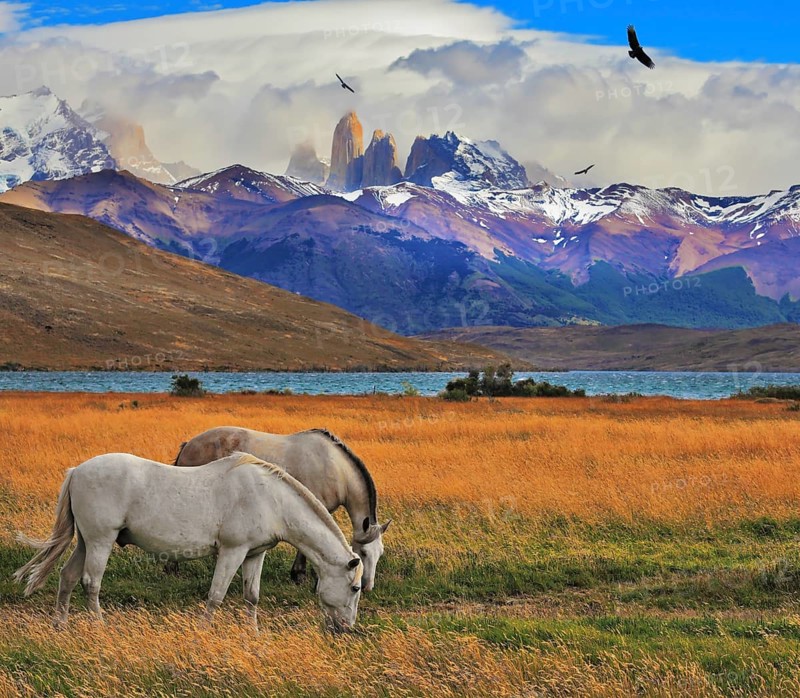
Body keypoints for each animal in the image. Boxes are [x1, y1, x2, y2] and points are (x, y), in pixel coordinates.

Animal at [14, 452, 364, 632]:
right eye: (355, 587)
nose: (346, 629)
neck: (271, 498)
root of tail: (77, 471)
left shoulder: (254, 555)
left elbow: (251, 597)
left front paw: (252, 635)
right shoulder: (232, 552)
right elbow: (216, 596)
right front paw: (204, 633)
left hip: (86, 542)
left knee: (68, 577)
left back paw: (60, 625)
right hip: (100, 541)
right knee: (91, 582)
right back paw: (100, 626)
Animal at [173, 426, 391, 592]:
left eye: (379, 553)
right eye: (363, 553)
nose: (367, 586)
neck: (335, 467)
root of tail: (189, 445)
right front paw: (302, 575)